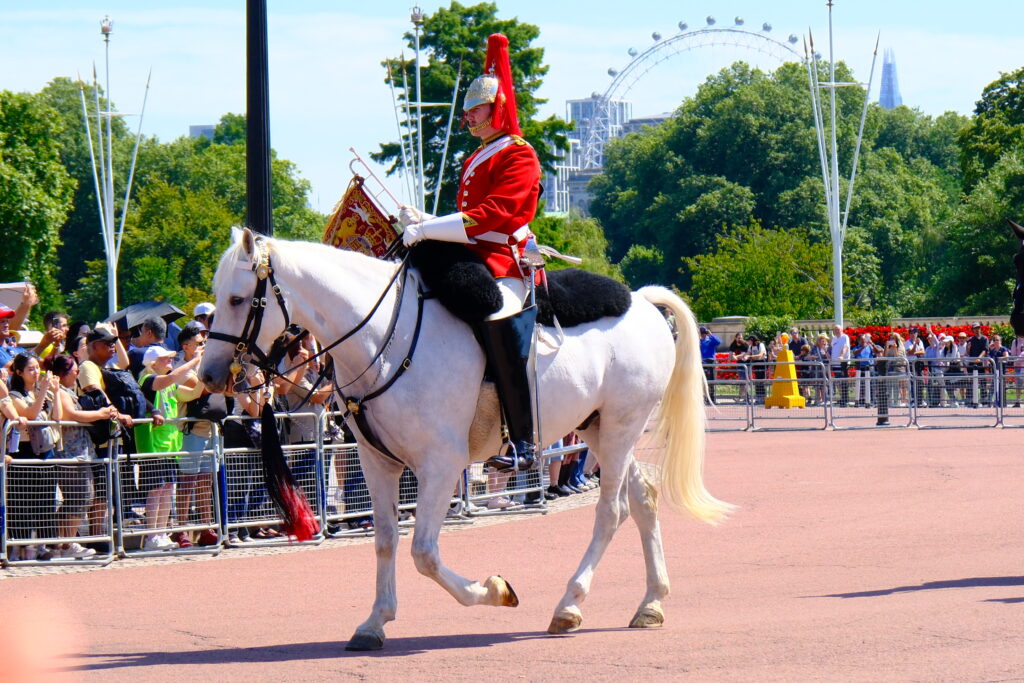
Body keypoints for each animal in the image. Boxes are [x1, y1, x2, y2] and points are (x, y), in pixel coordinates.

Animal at [199, 228, 729, 651]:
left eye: (238, 299)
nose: (209, 376)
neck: (383, 340)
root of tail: (641, 301)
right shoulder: (376, 461)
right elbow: (386, 540)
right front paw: (374, 622)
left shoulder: (439, 463)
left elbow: (423, 552)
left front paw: (493, 590)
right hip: (599, 429)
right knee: (643, 497)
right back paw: (651, 603)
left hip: (620, 427)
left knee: (612, 511)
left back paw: (569, 605)